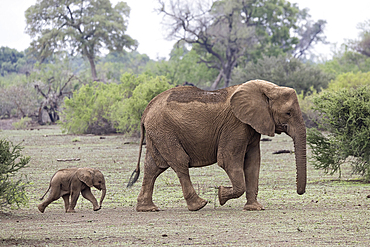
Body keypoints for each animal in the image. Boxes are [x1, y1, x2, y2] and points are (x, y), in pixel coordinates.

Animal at [128, 80, 306, 211]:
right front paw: (221, 194)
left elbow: (253, 162)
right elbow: (227, 160)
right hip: (164, 130)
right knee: (179, 161)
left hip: (157, 133)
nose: (300, 192)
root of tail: (146, 110)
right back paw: (199, 205)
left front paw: (255, 208)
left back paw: (147, 208)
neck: (266, 89)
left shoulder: (252, 126)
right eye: (288, 113)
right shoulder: (235, 125)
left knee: (153, 166)